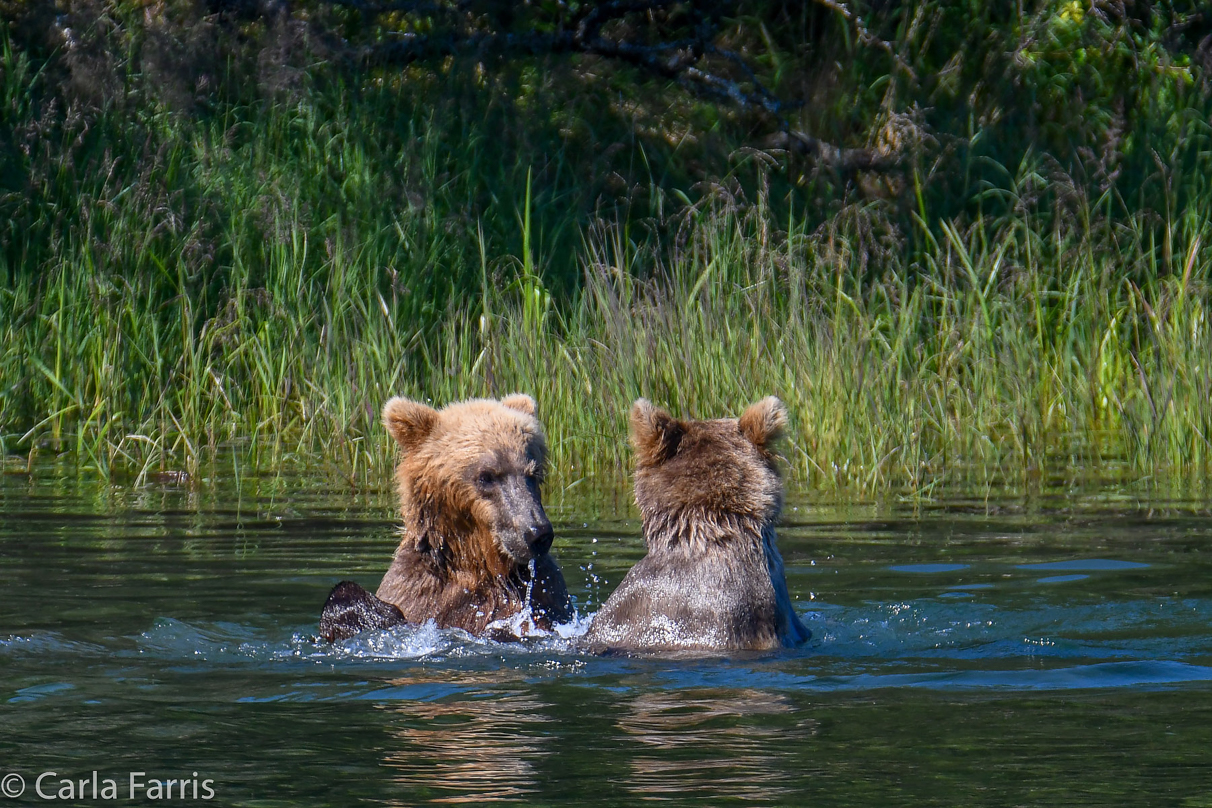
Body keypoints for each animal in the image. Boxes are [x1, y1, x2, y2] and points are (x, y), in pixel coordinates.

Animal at [319, 394, 569, 639]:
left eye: (533, 473)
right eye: (486, 476)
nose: (537, 533)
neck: (476, 564)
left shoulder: (545, 594)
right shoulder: (419, 590)